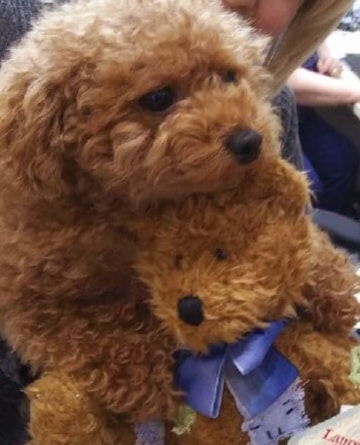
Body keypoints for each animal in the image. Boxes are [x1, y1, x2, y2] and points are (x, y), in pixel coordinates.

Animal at [0, 0, 358, 442]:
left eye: (229, 76)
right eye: (158, 98)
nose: (249, 140)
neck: (122, 202)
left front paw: (333, 286)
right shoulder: (34, 298)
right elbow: (92, 328)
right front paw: (144, 380)